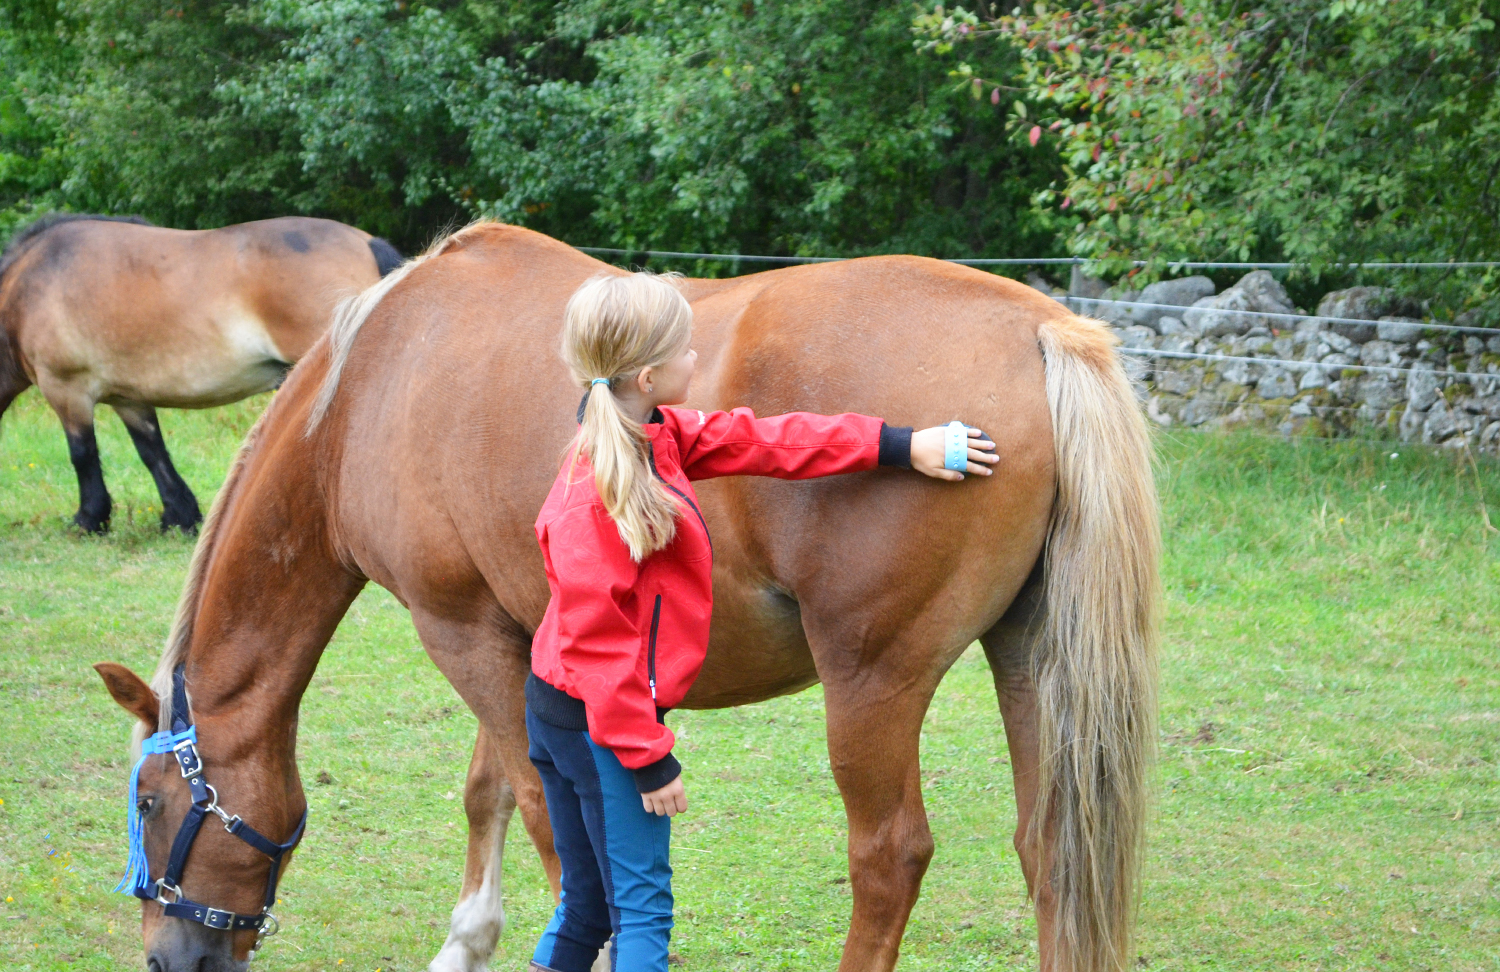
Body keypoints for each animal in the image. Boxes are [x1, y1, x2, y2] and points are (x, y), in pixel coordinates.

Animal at [0, 213, 402, 534]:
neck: (27, 287)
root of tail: (365, 242)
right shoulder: (129, 398)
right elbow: (153, 453)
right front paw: (179, 516)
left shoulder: (65, 388)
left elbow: (83, 454)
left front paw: (88, 519)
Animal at [93, 221, 1159, 972]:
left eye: (150, 800)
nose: (170, 956)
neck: (366, 391)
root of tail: (1040, 327)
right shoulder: (521, 634)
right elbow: (488, 790)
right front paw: (468, 938)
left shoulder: (459, 630)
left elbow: (538, 810)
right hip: (1028, 658)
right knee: (1054, 850)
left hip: (872, 681)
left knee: (889, 858)